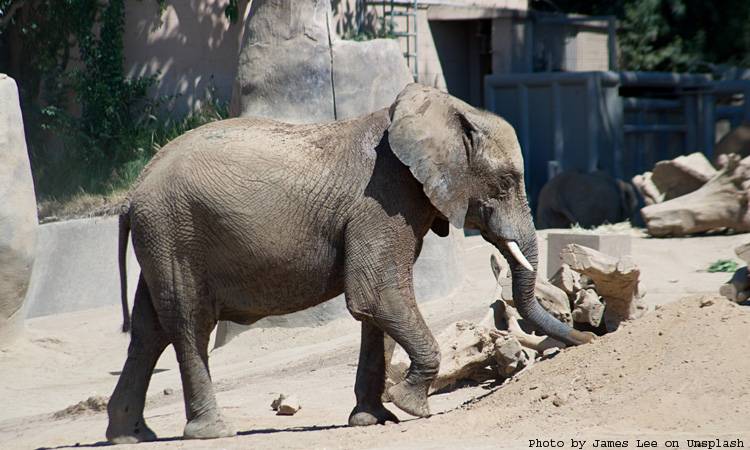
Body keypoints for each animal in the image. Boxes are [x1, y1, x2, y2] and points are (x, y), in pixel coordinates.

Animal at [104, 83, 592, 442]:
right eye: (507, 182)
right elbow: (377, 295)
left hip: (163, 238)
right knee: (189, 323)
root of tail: (132, 194)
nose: (588, 339)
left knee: (149, 330)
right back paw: (214, 432)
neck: (439, 110)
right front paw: (411, 406)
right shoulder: (383, 202)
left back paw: (132, 436)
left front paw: (374, 419)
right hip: (176, 233)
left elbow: (376, 309)